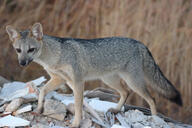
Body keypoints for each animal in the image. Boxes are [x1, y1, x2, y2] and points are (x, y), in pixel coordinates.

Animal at [6, 22, 182, 127]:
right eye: (18, 50)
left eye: (31, 50)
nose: (22, 63)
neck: (56, 55)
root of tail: (139, 43)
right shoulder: (60, 79)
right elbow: (42, 91)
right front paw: (39, 108)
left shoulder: (77, 81)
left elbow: (78, 104)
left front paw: (76, 123)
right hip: (111, 80)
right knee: (126, 92)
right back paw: (116, 110)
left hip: (133, 82)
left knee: (151, 99)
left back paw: (155, 120)